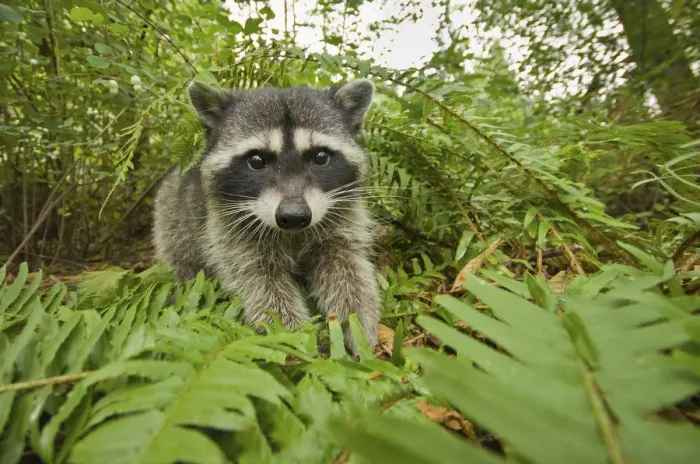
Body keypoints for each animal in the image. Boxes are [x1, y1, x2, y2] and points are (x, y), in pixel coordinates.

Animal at [153, 79, 381, 348]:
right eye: (256, 160)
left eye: (320, 157)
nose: (294, 216)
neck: (294, 235)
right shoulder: (226, 230)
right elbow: (260, 282)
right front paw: (293, 336)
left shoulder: (342, 216)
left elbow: (348, 264)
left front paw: (357, 321)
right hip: (169, 216)